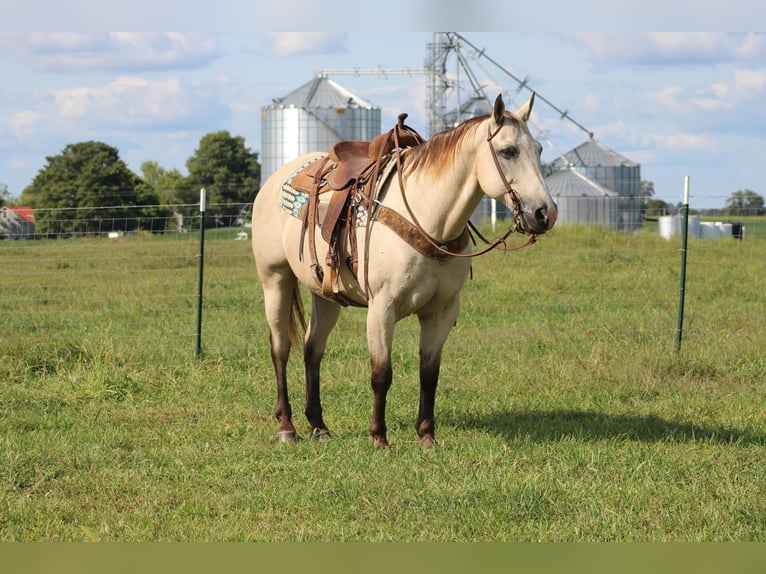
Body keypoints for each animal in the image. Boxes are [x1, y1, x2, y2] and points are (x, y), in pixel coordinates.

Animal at [252, 93, 560, 450]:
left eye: (539, 149)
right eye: (508, 151)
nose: (545, 213)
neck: (429, 219)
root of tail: (275, 179)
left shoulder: (442, 311)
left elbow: (429, 374)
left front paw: (427, 436)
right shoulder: (381, 308)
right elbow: (381, 374)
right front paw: (379, 437)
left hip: (326, 296)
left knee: (312, 349)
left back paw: (319, 425)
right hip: (275, 280)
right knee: (280, 349)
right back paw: (286, 427)